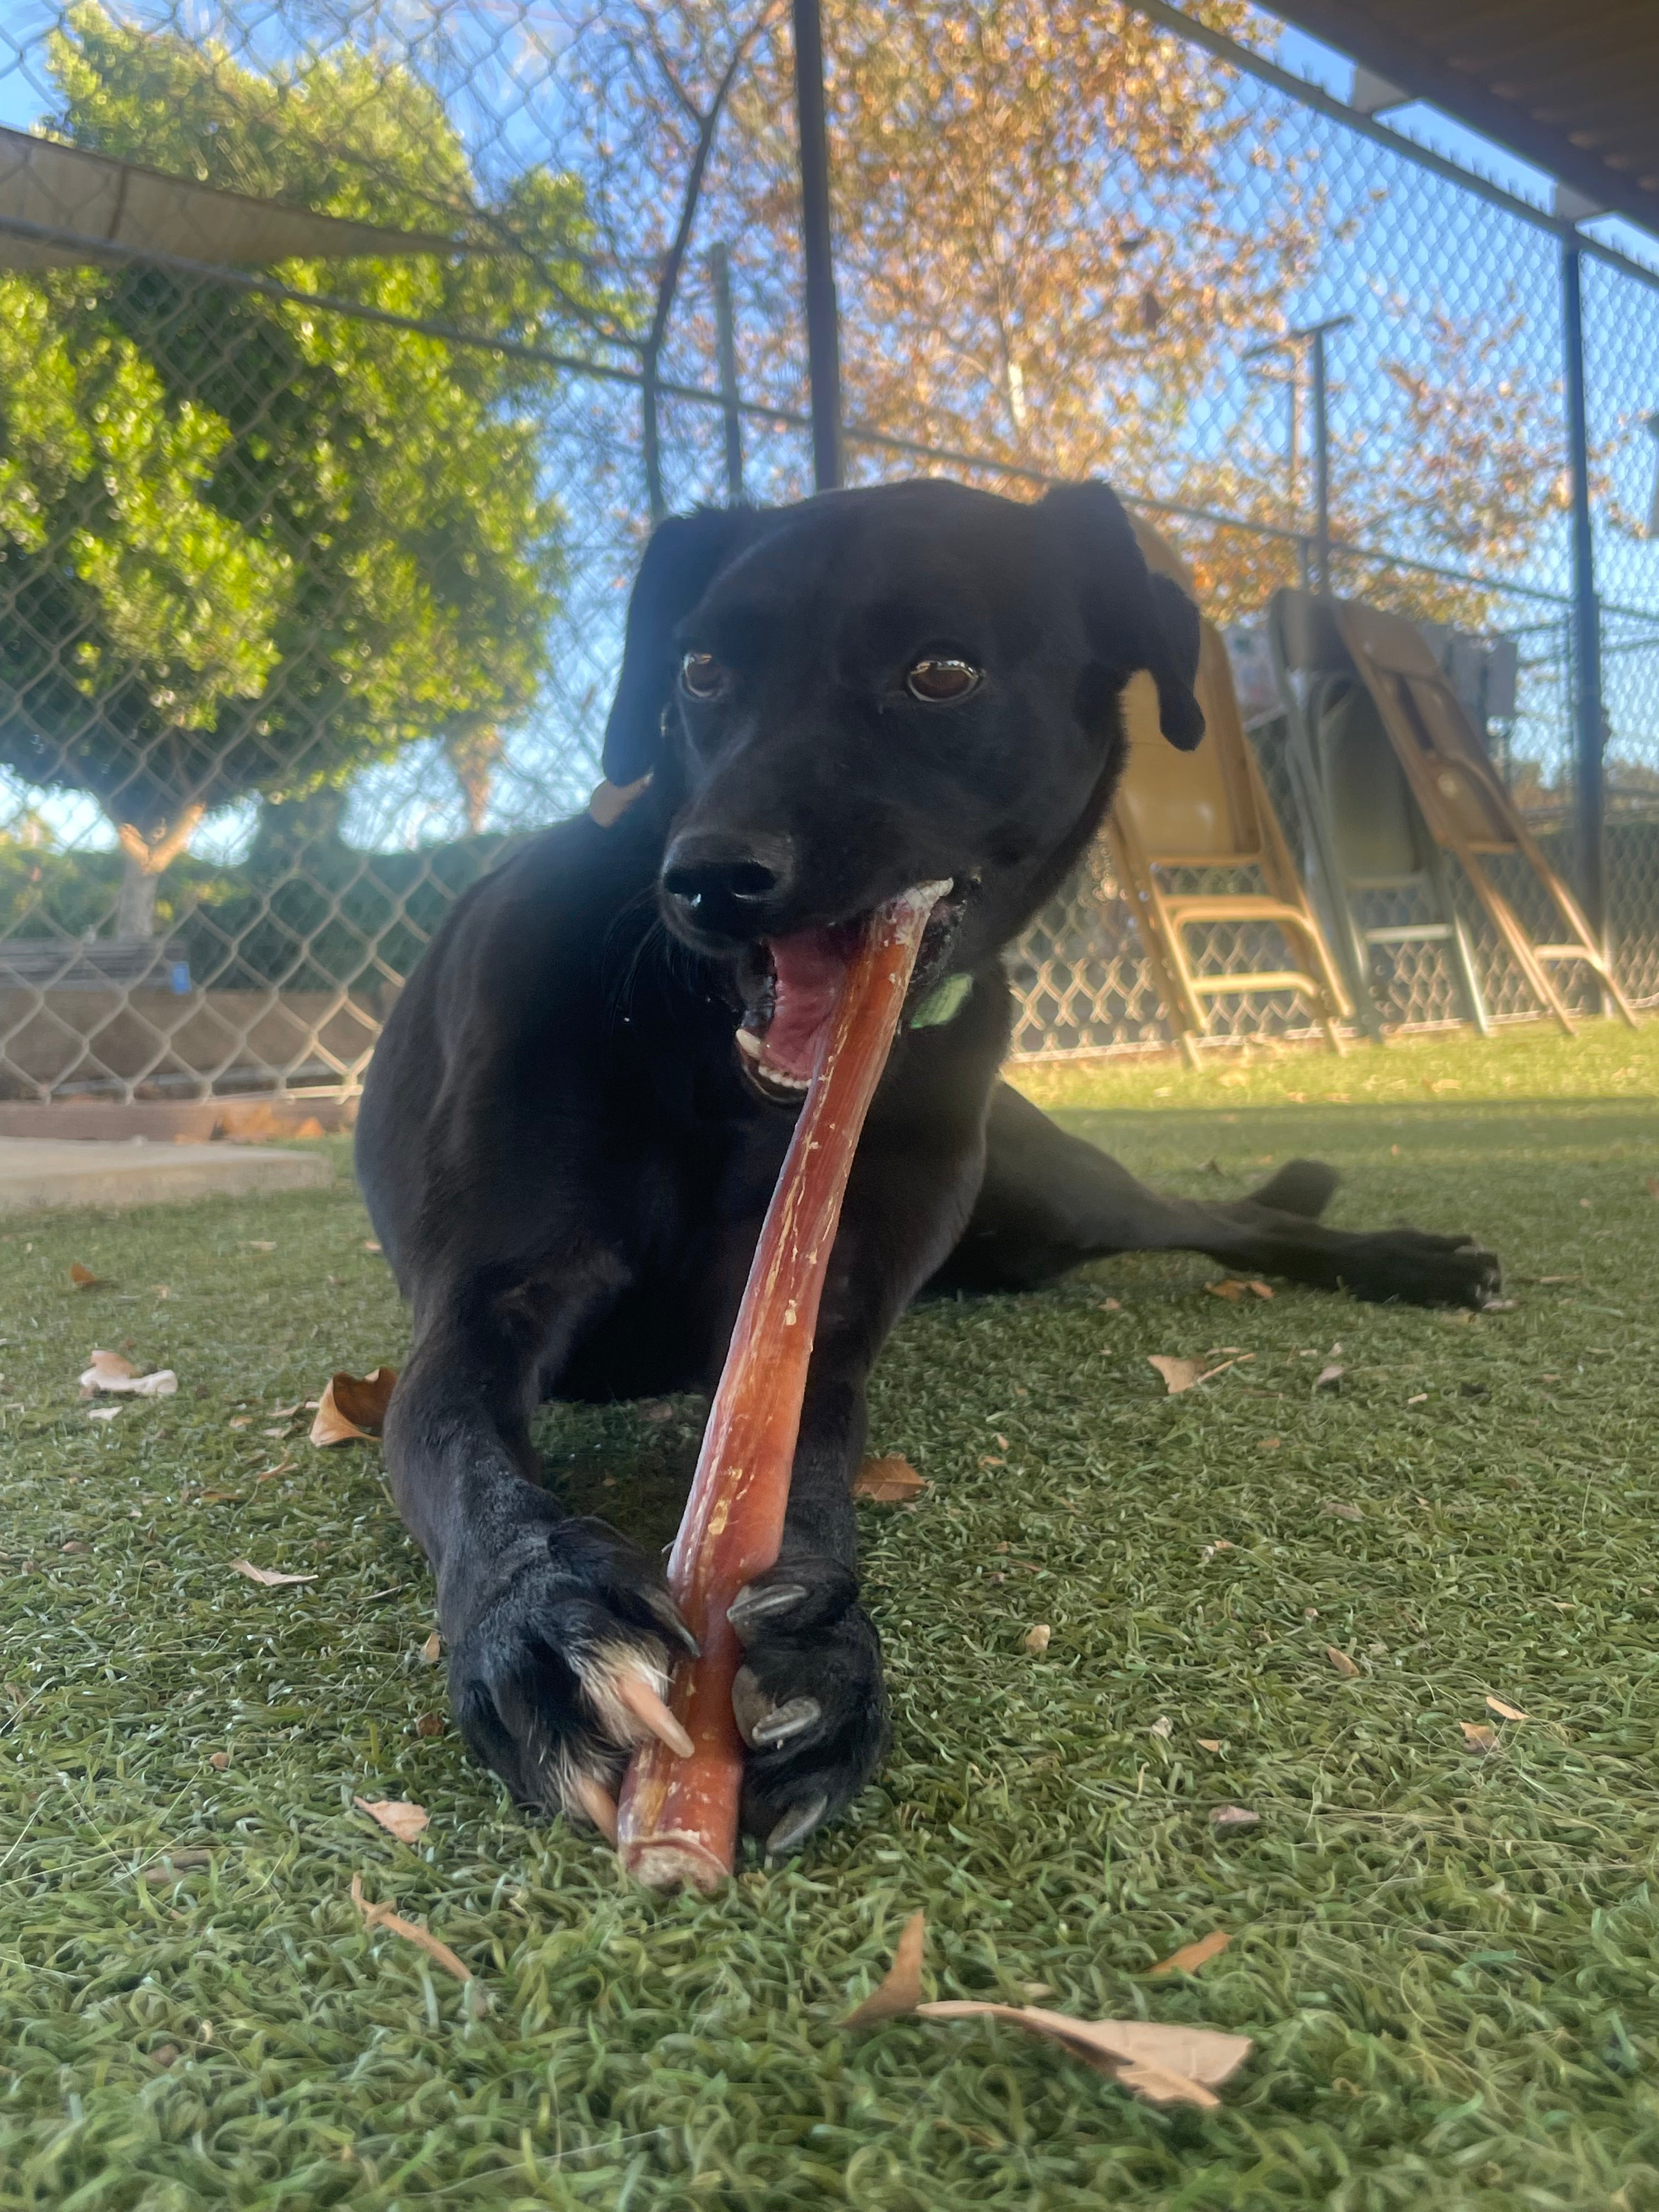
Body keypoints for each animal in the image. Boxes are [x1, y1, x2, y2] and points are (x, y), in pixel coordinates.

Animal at [358, 475, 1504, 1858]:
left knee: (1216, 1213)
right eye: (701, 669)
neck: (712, 1060)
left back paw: (1405, 1257)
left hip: (1051, 1181)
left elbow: (801, 1475)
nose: (709, 878)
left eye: (942, 673)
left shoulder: (822, 1319)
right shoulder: (484, 1304)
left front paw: (816, 1648)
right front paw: (542, 1623)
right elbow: (457, 1445)